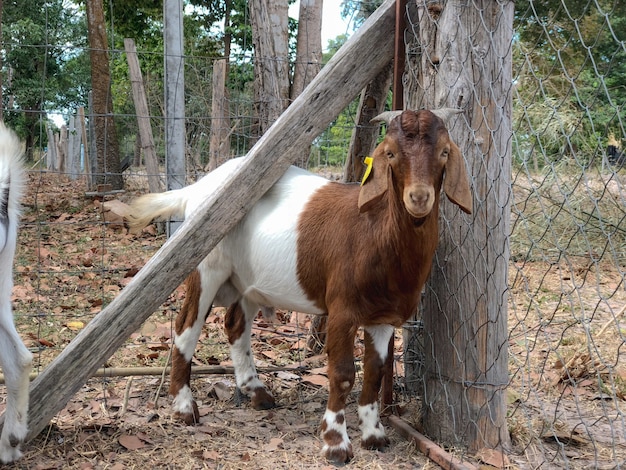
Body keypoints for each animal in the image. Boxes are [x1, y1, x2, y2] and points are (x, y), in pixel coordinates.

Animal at [129, 109, 470, 462]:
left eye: (444, 152)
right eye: (390, 153)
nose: (418, 197)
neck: (376, 231)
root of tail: (197, 188)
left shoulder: (384, 317)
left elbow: (375, 372)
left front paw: (374, 434)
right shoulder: (342, 310)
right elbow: (343, 375)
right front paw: (336, 443)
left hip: (248, 280)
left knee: (235, 325)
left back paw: (256, 391)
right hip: (206, 263)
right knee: (187, 326)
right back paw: (184, 408)